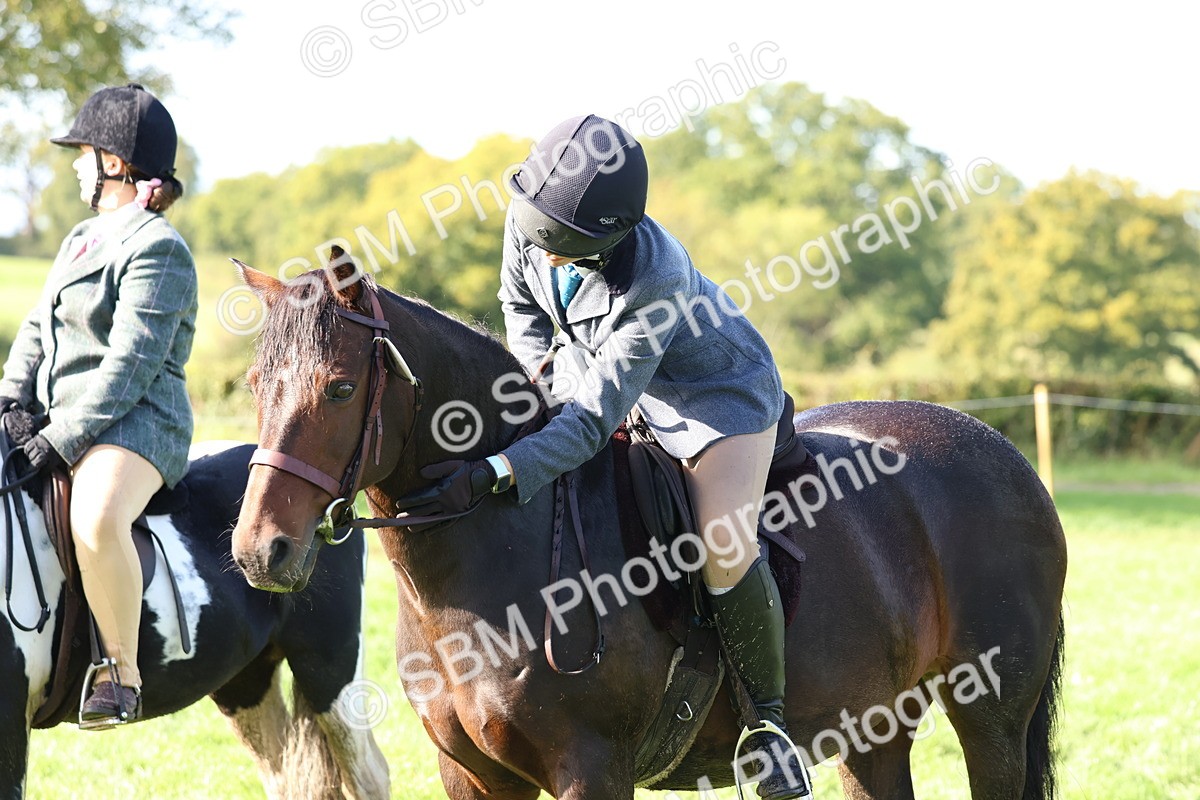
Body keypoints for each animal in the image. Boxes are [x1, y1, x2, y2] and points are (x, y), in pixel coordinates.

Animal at [230, 254, 1066, 800]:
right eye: (254, 385)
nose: (262, 551)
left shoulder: (593, 770)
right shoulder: (472, 775)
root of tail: (1007, 457)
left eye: (340, 388)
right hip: (874, 729)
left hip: (990, 718)